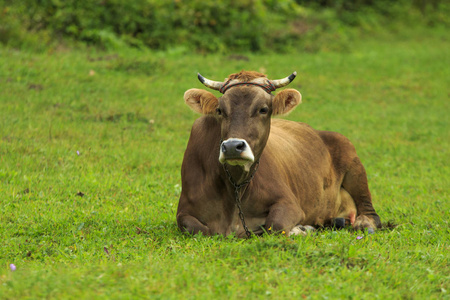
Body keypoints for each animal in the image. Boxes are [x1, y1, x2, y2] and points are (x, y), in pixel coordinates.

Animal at [176, 70, 380, 237]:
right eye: (220, 110)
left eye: (263, 109)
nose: (233, 146)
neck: (235, 190)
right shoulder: (183, 210)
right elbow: (198, 228)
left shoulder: (289, 203)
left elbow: (275, 224)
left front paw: (301, 229)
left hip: (353, 161)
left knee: (370, 212)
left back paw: (363, 223)